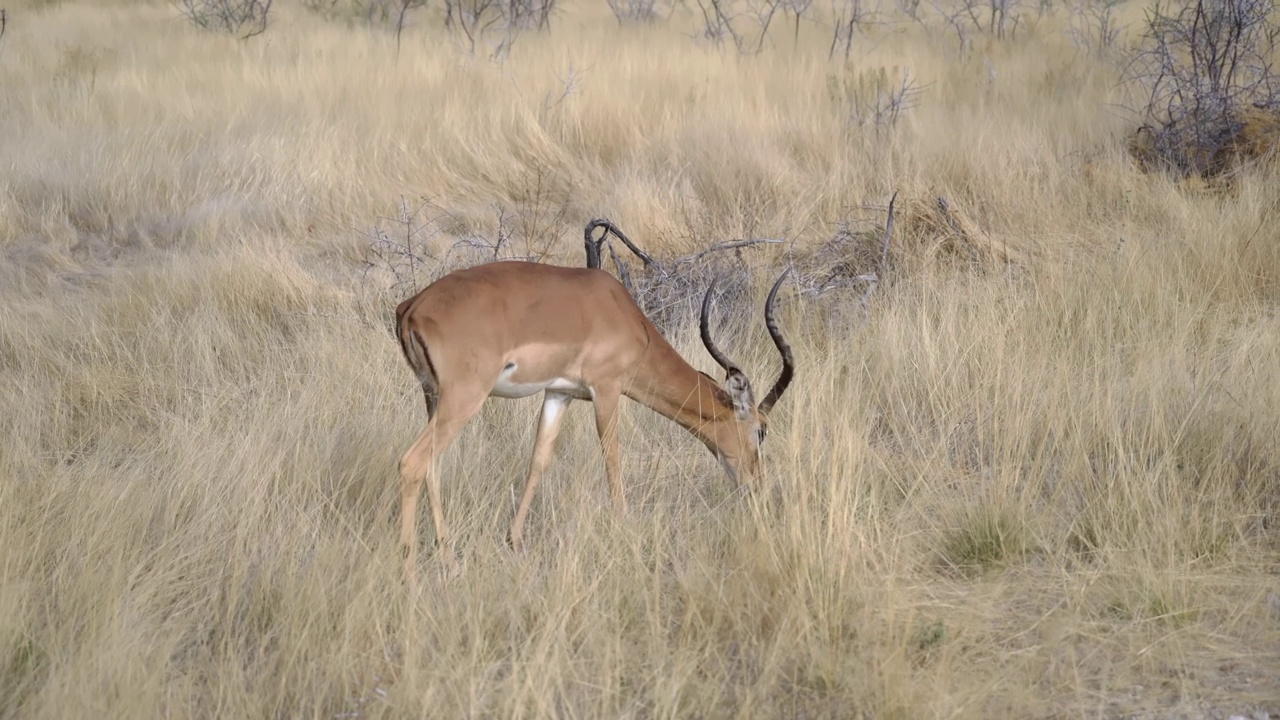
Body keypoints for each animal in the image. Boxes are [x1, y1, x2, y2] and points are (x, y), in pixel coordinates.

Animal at [391, 258, 788, 571]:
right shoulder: (607, 391)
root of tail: (412, 307)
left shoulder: (559, 393)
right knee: (411, 463)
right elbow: (612, 460)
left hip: (434, 398)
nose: (757, 485)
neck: (621, 314)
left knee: (432, 466)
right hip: (464, 398)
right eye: (761, 430)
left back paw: (447, 554)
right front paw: (624, 528)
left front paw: (514, 539)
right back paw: (408, 567)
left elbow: (539, 460)